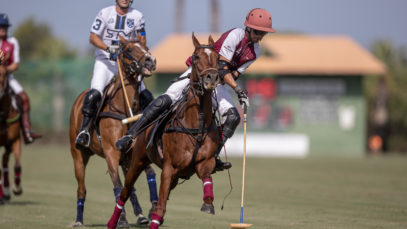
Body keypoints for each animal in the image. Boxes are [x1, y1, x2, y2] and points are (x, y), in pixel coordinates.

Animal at [69, 36, 159, 227]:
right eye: (130, 49)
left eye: (146, 46)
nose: (151, 60)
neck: (124, 109)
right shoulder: (111, 153)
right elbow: (117, 185)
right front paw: (122, 219)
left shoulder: (135, 152)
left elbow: (149, 175)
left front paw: (153, 208)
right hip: (78, 155)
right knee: (81, 188)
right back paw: (79, 220)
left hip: (125, 159)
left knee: (130, 187)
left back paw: (140, 215)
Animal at [107, 33, 218, 229]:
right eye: (197, 57)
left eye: (218, 58)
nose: (211, 77)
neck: (196, 124)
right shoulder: (169, 167)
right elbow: (159, 208)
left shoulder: (204, 162)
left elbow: (206, 178)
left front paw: (208, 203)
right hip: (137, 161)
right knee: (125, 192)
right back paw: (114, 222)